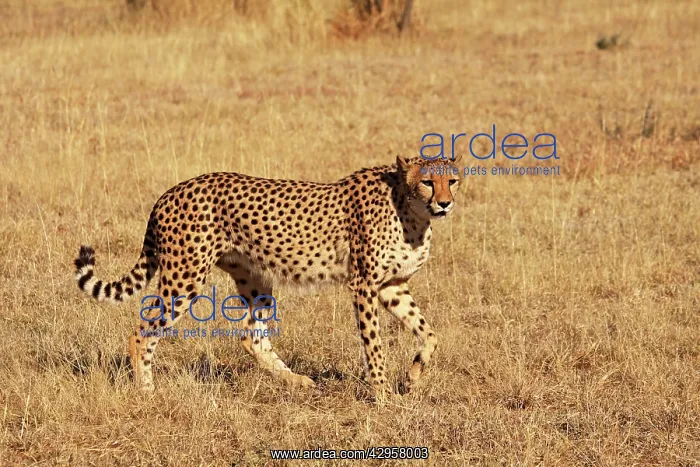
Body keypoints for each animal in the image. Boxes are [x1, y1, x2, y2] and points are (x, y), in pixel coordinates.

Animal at [73, 155, 463, 395]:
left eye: (453, 181)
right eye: (428, 182)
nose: (445, 203)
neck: (410, 212)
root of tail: (171, 190)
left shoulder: (392, 286)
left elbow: (431, 334)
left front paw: (412, 378)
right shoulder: (364, 285)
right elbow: (374, 345)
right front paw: (382, 395)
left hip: (255, 279)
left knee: (251, 337)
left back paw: (297, 381)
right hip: (185, 276)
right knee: (142, 333)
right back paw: (147, 391)